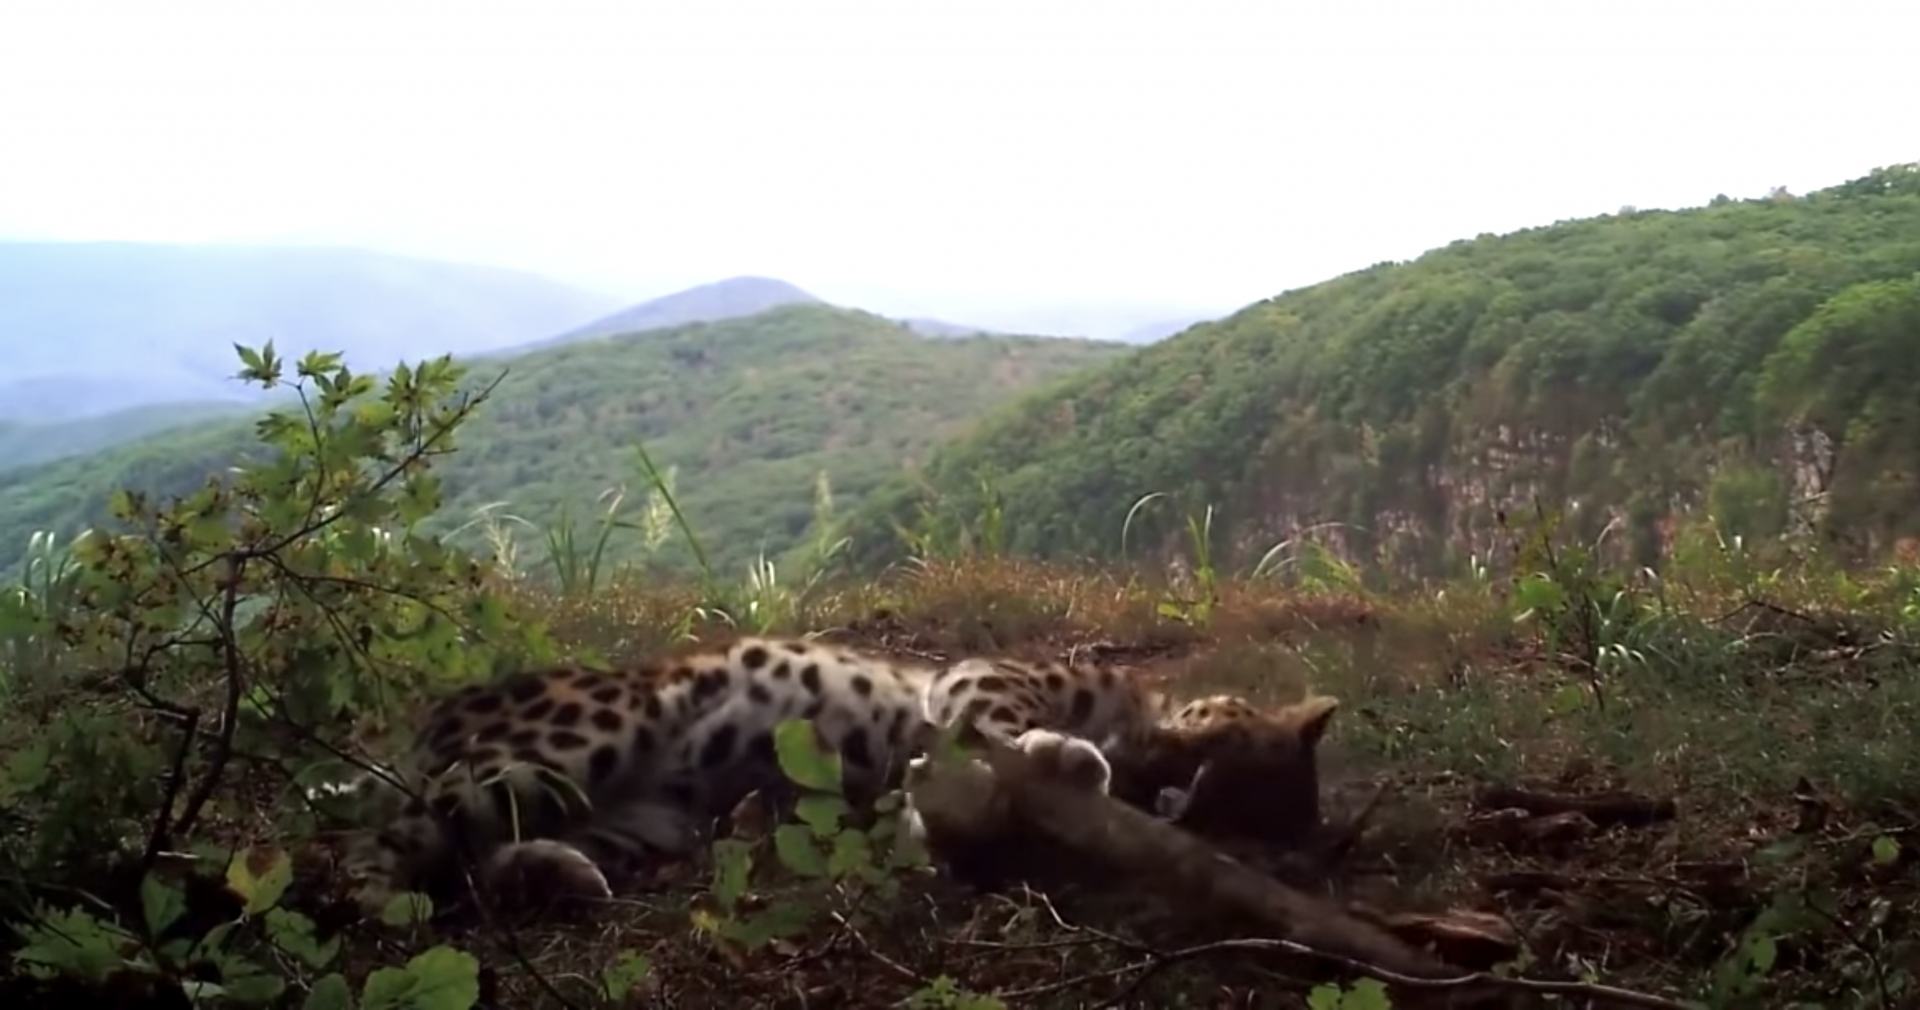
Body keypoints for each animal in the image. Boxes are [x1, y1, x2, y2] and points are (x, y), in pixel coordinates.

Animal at [335, 636, 1171, 918]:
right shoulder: (978, 677)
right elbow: (992, 733)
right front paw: (1057, 762)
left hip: (649, 821)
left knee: (481, 862)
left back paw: (542, 876)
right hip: (578, 736)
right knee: (373, 844)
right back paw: (382, 902)